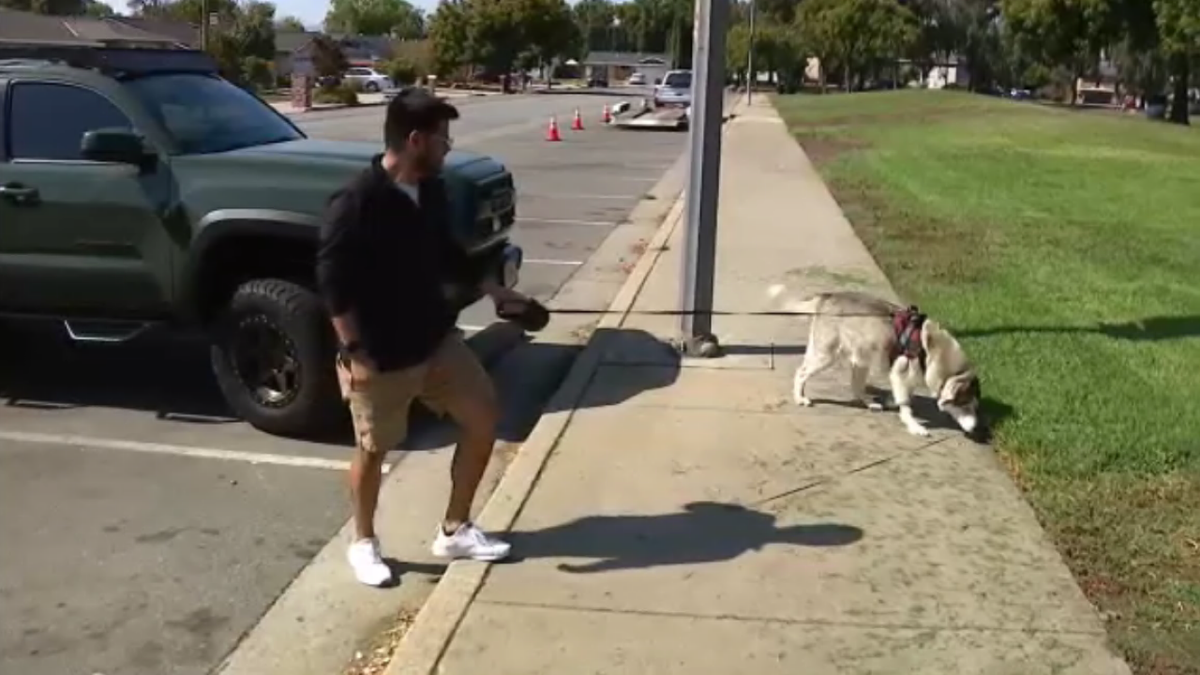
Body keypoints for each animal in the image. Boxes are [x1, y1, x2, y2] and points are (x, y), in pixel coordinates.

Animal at [768, 284, 984, 439]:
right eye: (965, 405)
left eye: (975, 407)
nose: (975, 429)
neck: (931, 352)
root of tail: (828, 296)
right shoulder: (900, 372)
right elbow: (906, 405)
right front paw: (913, 425)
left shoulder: (906, 377)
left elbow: (904, 396)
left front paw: (893, 402)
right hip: (826, 355)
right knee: (801, 372)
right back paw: (800, 397)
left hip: (861, 355)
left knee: (856, 385)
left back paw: (868, 402)